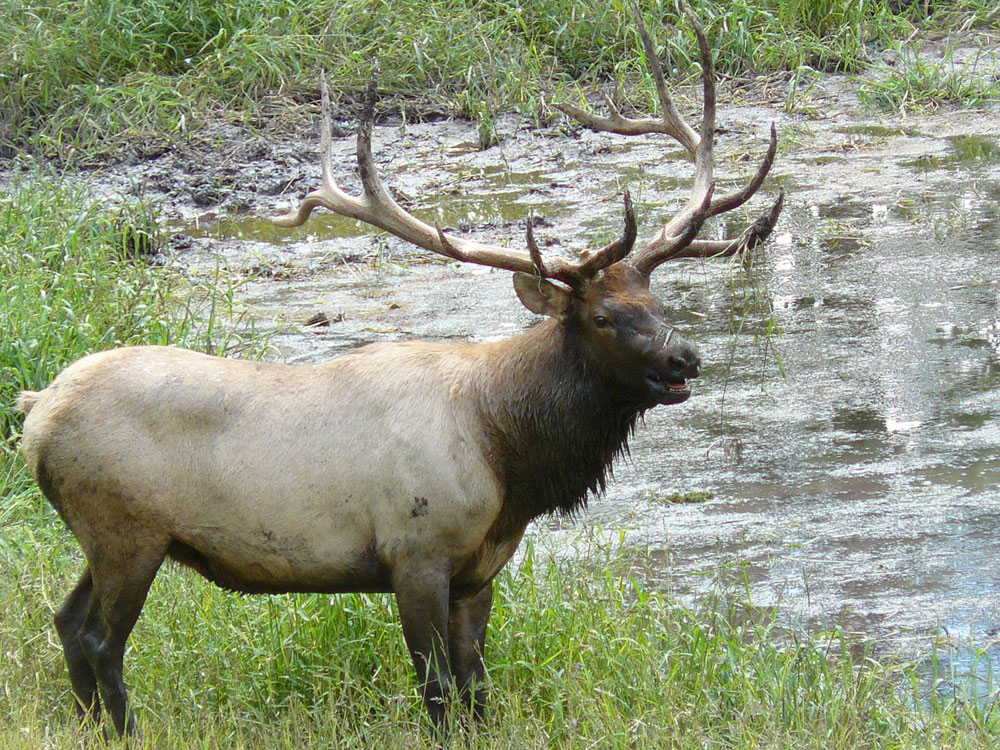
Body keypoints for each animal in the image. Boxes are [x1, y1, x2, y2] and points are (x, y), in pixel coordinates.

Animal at [13, 2, 780, 736]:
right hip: (125, 526)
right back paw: (124, 729)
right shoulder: (416, 553)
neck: (506, 453)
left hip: (106, 534)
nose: (686, 358)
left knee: (65, 623)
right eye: (601, 317)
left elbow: (477, 689)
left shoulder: (478, 570)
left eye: (657, 301)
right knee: (100, 639)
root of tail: (34, 410)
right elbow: (437, 687)